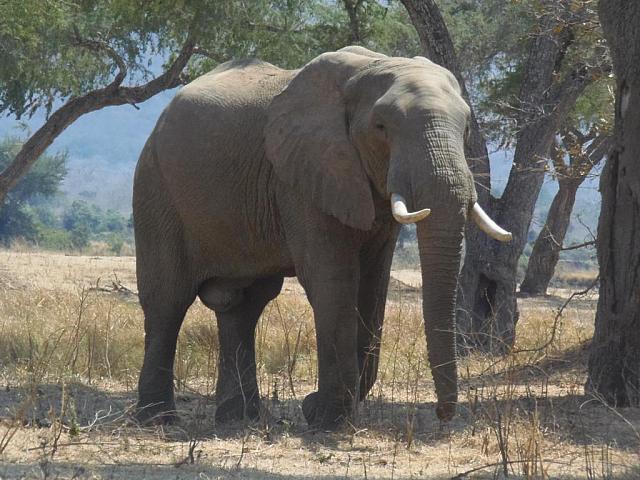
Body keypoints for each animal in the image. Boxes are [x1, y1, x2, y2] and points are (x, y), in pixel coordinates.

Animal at [132, 46, 512, 428]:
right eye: (381, 127)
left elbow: (373, 285)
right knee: (168, 301)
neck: (368, 67)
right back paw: (158, 419)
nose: (442, 413)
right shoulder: (303, 175)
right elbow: (333, 280)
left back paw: (240, 419)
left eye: (466, 127)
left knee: (244, 306)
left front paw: (322, 412)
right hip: (155, 187)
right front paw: (325, 417)